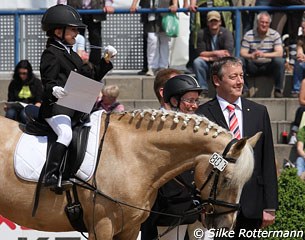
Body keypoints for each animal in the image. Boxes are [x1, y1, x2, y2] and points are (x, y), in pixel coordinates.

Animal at [0, 109, 258, 239]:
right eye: (226, 179)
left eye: (245, 182)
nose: (225, 226)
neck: (130, 153)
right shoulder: (101, 227)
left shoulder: (130, 229)